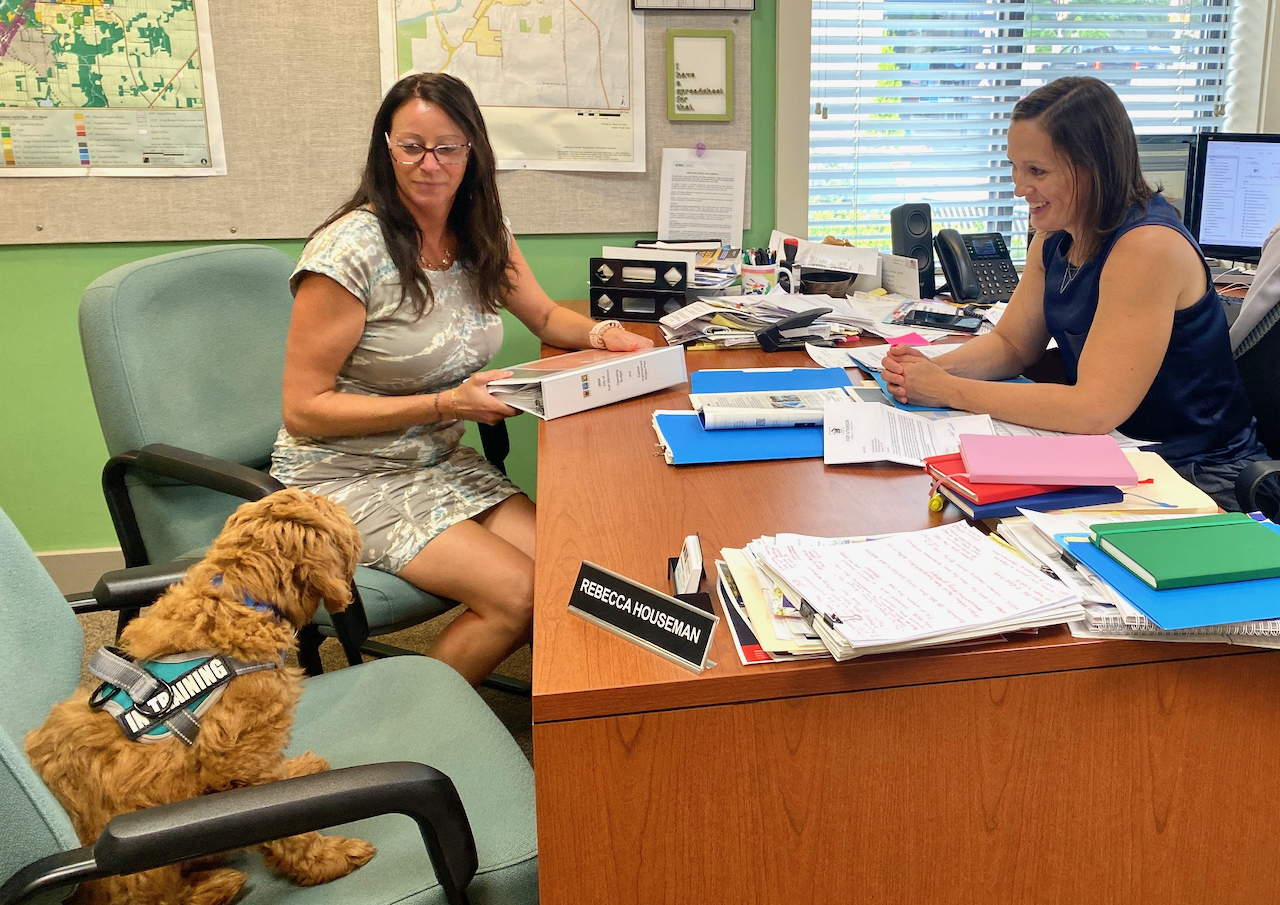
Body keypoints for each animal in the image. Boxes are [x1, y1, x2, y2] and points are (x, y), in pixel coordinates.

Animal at [24, 491, 373, 901]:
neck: (239, 601)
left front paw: (299, 770)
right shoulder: (239, 762)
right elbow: (291, 828)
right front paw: (329, 859)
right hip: (143, 862)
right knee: (157, 898)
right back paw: (215, 885)